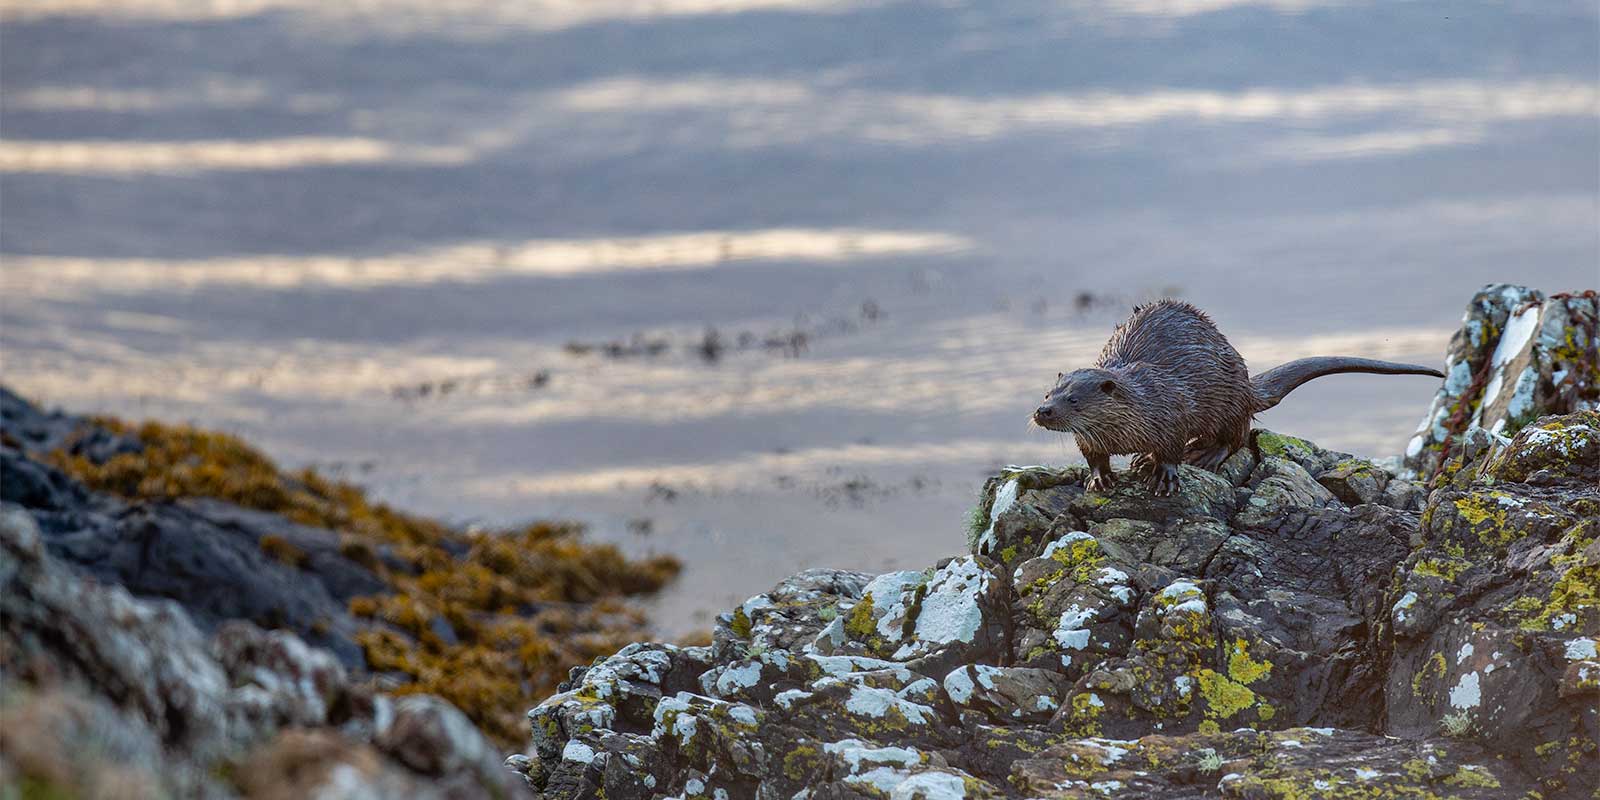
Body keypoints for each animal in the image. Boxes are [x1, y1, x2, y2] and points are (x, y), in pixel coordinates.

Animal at [1031, 300, 1444, 496]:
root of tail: (1247, 387)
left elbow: (1171, 449)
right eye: (1049, 392)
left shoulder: (1171, 413)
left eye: (1073, 399)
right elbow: (1094, 457)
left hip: (1228, 398)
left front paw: (1165, 475)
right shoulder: (1090, 439)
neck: (1139, 408)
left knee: (1237, 436)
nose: (1042, 411)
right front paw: (1099, 478)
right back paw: (1141, 459)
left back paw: (1202, 454)